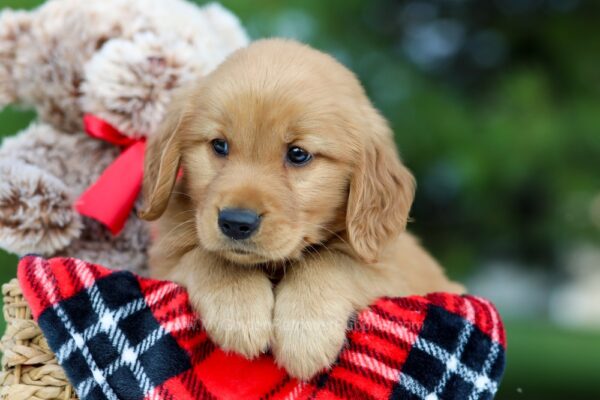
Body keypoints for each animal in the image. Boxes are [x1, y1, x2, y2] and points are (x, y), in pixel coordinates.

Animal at [142, 39, 464, 380]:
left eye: (298, 154)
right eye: (219, 145)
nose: (236, 223)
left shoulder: (394, 273)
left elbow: (332, 260)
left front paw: (306, 331)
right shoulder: (163, 263)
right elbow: (208, 256)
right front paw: (238, 308)